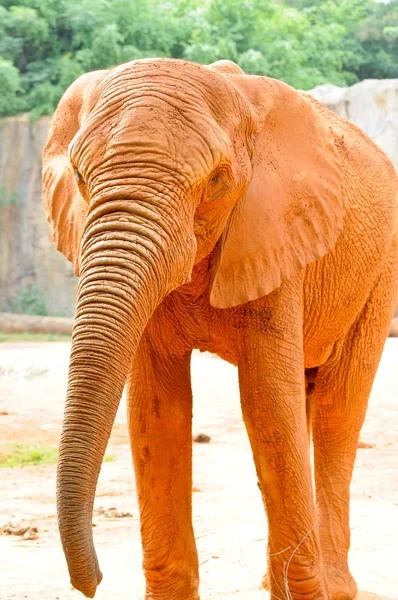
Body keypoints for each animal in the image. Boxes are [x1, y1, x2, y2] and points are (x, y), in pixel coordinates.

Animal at [42, 57, 398, 600]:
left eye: (216, 180)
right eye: (81, 176)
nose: (93, 582)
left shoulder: (277, 228)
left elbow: (266, 403)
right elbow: (157, 411)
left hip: (379, 272)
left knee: (339, 408)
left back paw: (337, 586)